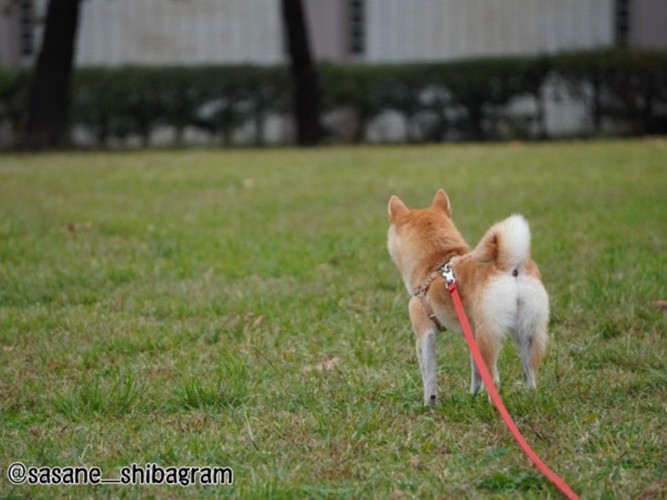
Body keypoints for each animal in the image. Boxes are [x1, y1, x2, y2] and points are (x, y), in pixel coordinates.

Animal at [388, 189, 552, 404]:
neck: (436, 263)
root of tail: (510, 266)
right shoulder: (470, 335)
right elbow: (476, 371)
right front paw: (473, 394)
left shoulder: (425, 334)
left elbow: (429, 377)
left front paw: (429, 404)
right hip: (527, 332)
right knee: (532, 373)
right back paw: (528, 396)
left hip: (487, 335)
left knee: (494, 378)